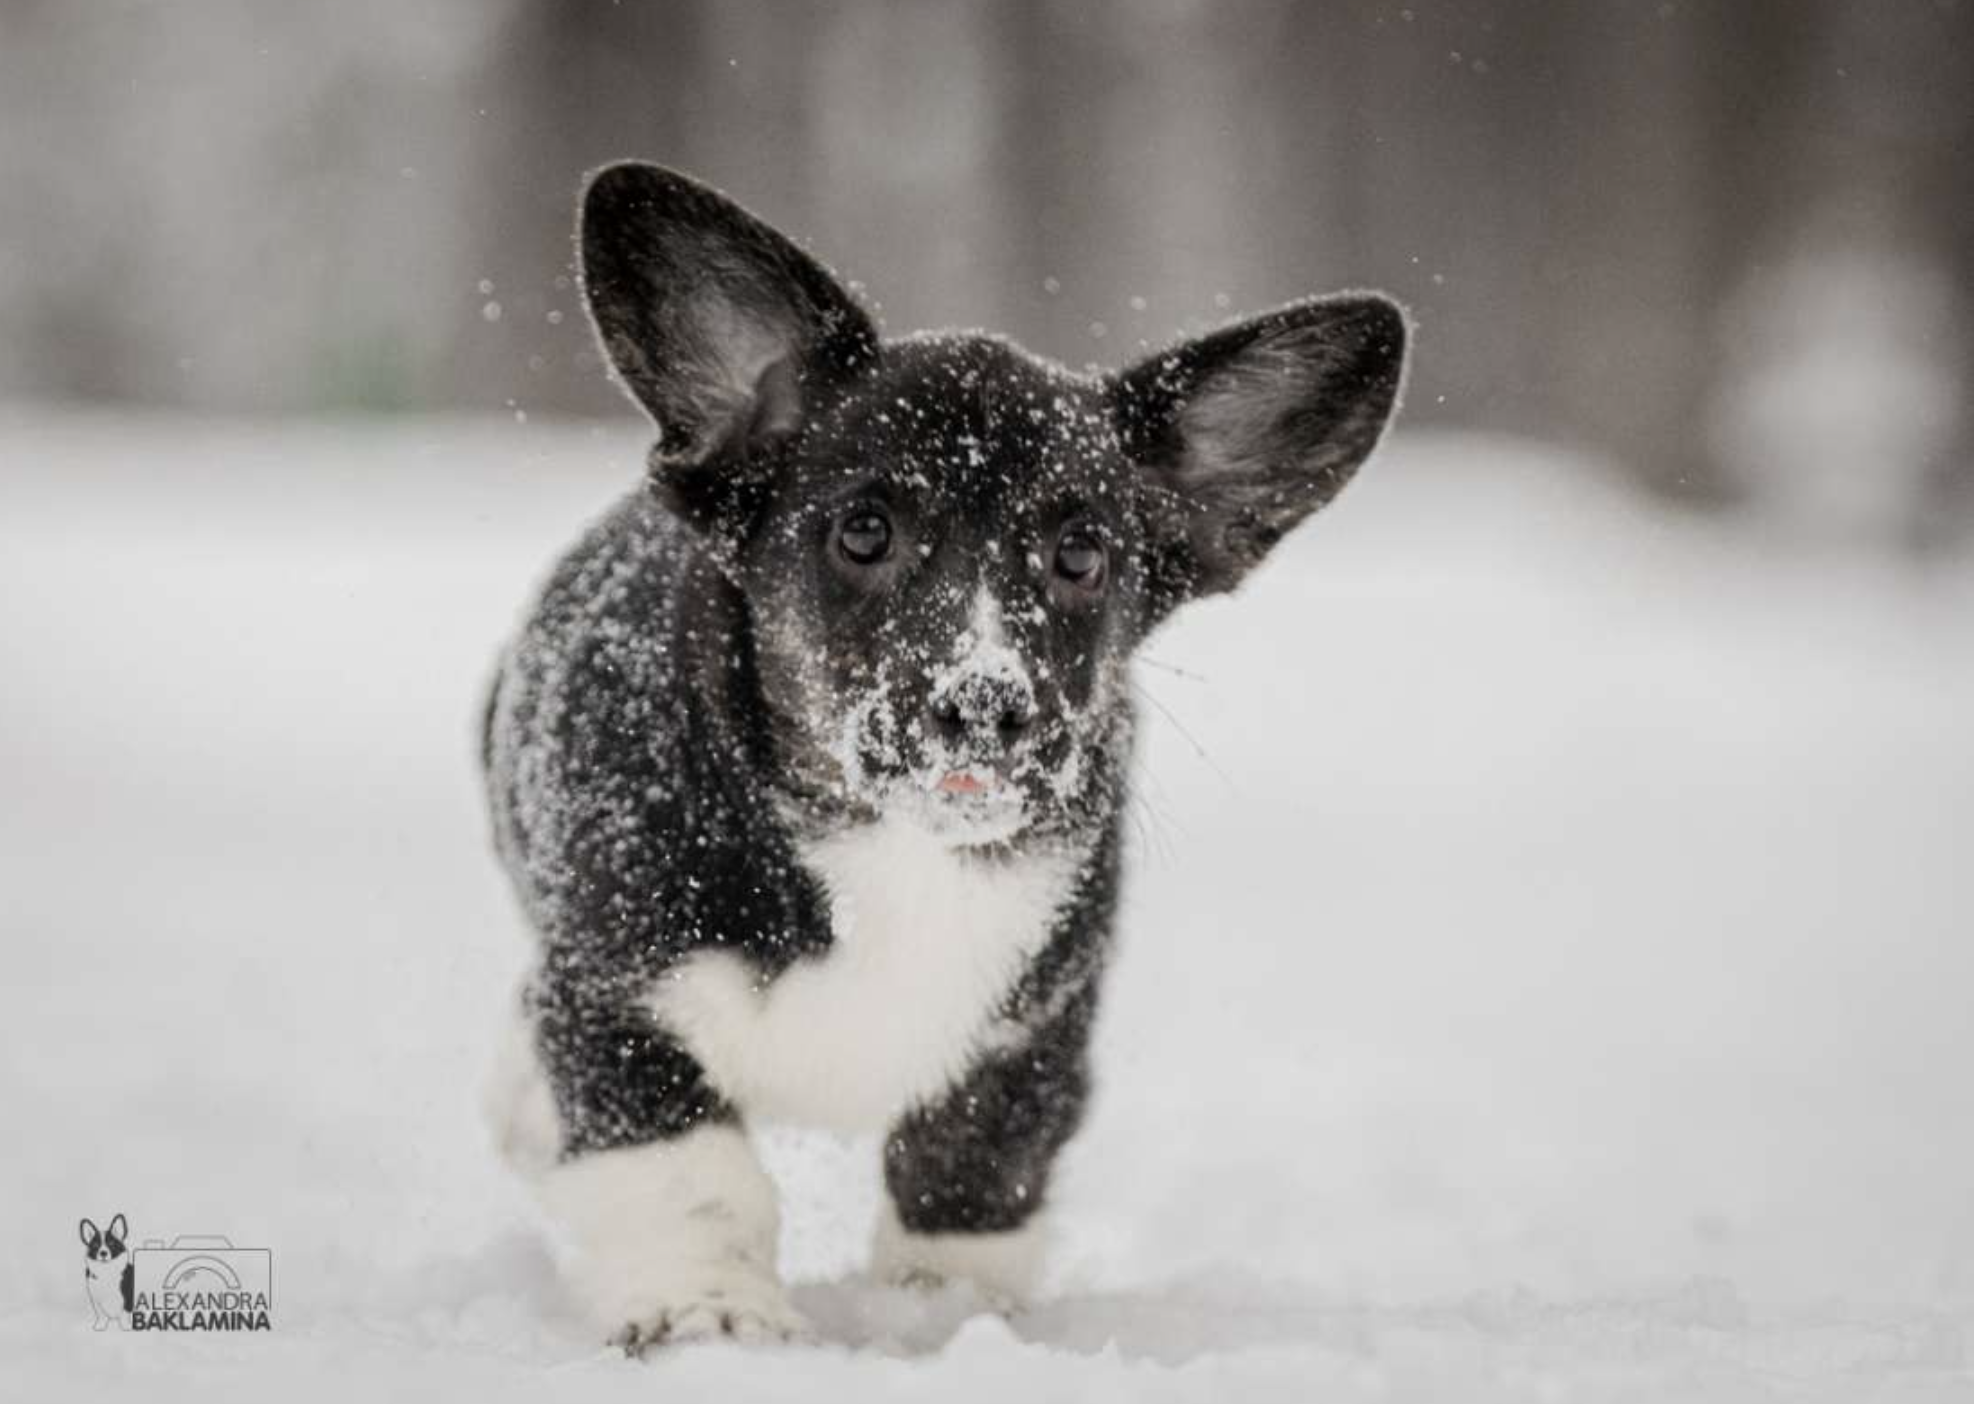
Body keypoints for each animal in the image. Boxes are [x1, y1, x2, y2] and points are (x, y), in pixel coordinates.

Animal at [477, 161, 1405, 1350]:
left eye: (1081, 556)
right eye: (864, 532)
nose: (985, 706)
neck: (888, 850)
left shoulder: (1031, 1034)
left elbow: (967, 1175)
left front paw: (939, 1322)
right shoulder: (614, 995)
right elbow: (690, 1173)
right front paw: (708, 1313)